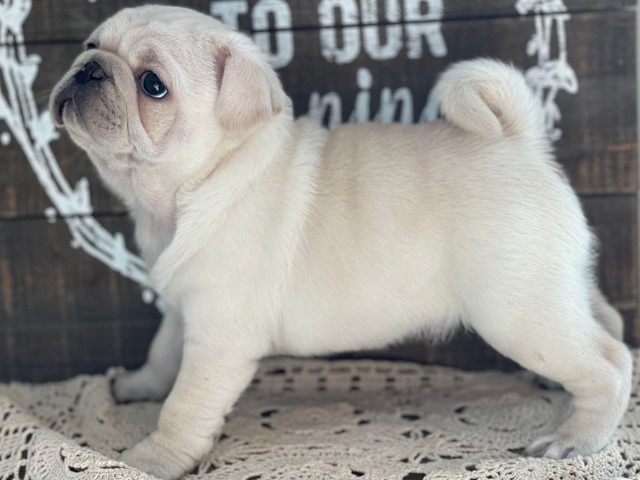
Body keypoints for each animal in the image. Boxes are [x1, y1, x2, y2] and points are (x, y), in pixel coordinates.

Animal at [50, 4, 632, 480]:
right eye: (89, 44)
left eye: (152, 85)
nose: (89, 68)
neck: (191, 188)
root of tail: (519, 141)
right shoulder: (180, 308)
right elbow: (161, 353)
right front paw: (138, 386)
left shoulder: (218, 334)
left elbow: (184, 406)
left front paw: (152, 459)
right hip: (556, 290)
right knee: (609, 323)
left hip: (516, 310)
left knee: (610, 362)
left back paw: (576, 439)